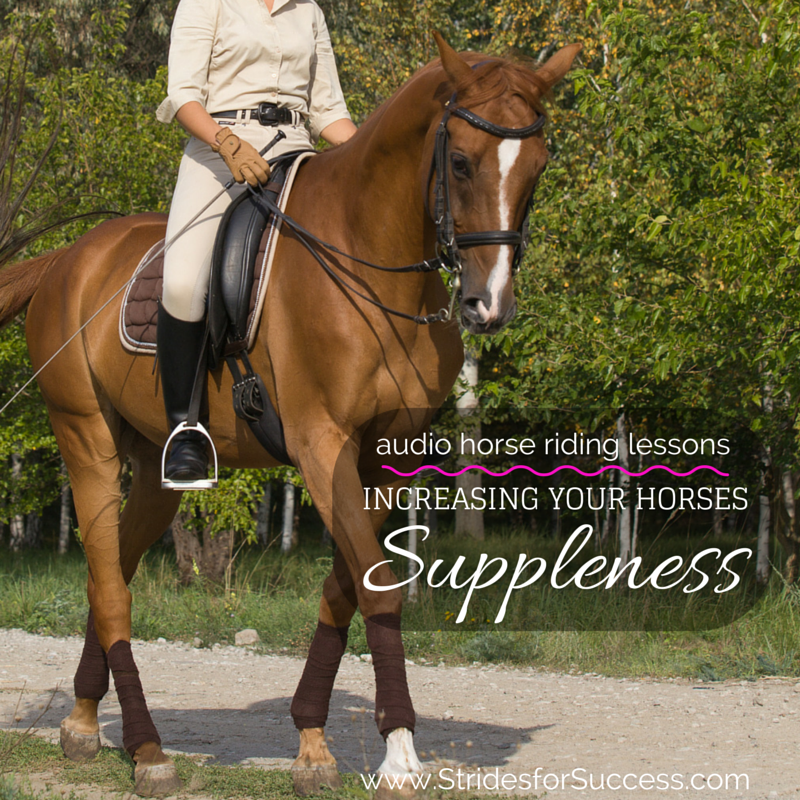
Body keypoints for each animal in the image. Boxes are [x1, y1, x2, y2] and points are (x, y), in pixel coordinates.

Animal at [0, 34, 579, 797]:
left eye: (537, 166)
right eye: (460, 161)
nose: (490, 305)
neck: (369, 258)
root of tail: (69, 258)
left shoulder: (379, 457)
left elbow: (345, 590)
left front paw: (311, 745)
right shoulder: (319, 443)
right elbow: (378, 590)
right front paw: (399, 756)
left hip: (155, 472)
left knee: (108, 579)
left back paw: (83, 724)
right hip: (85, 437)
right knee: (111, 589)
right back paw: (148, 750)